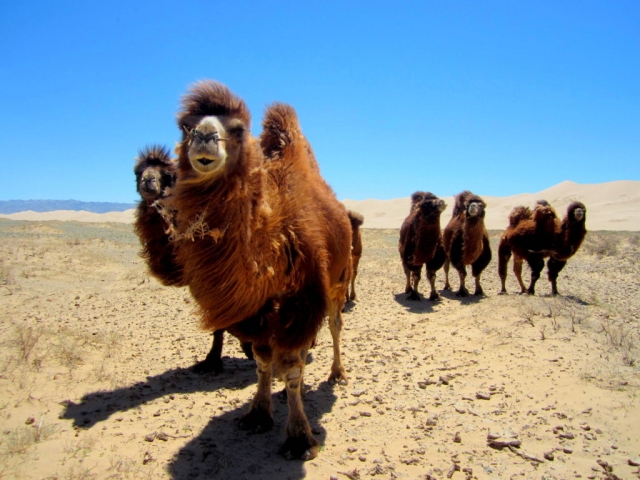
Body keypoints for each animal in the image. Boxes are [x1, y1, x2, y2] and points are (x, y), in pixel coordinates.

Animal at [169, 80, 350, 460]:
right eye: (185, 126)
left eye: (238, 129)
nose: (204, 136)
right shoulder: (258, 307)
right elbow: (263, 359)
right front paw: (258, 413)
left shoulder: (305, 295)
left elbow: (292, 365)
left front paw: (298, 438)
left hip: (338, 280)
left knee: (335, 324)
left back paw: (337, 373)